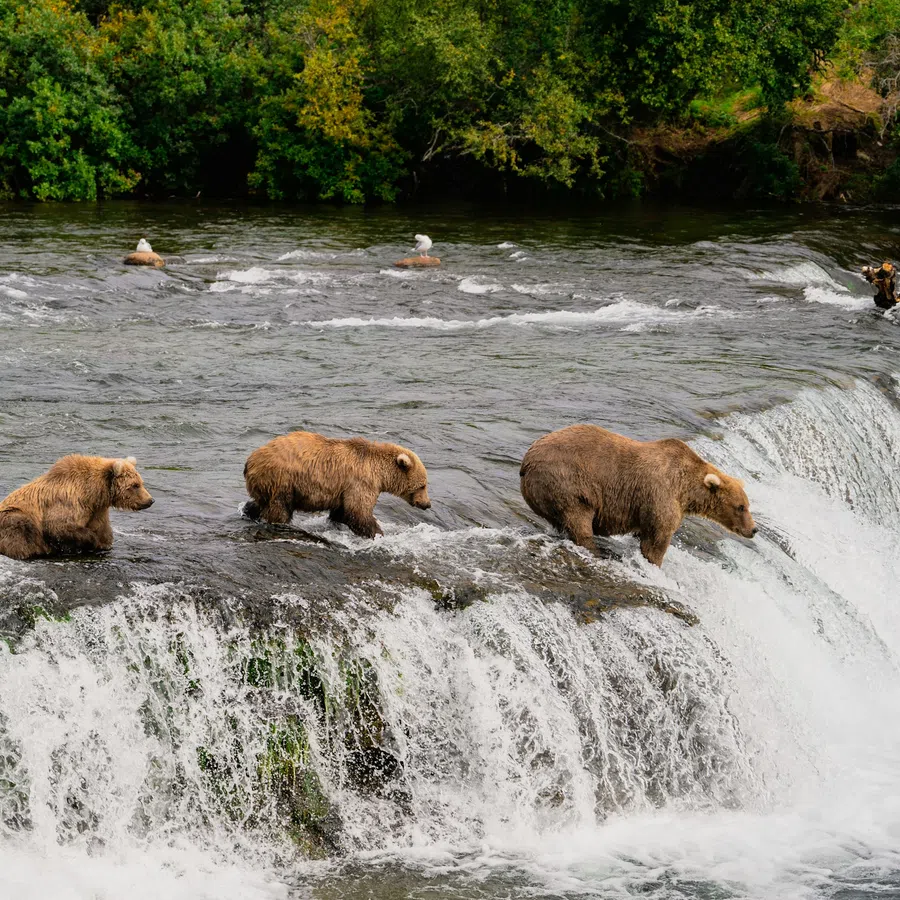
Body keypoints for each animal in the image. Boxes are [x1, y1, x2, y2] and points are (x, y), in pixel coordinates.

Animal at [0, 455, 154, 560]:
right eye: (135, 485)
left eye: (141, 482)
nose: (150, 500)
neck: (94, 492)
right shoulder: (68, 501)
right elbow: (58, 525)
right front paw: (90, 542)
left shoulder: (97, 510)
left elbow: (103, 532)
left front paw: (102, 544)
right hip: (13, 516)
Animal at [243, 431, 431, 538]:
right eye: (422, 485)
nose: (427, 504)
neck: (380, 472)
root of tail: (251, 460)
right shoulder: (361, 482)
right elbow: (358, 512)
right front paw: (377, 533)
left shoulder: (344, 489)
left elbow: (342, 512)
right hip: (283, 480)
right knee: (280, 508)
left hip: (266, 483)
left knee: (260, 503)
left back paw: (249, 511)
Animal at [519, 424, 756, 566]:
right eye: (740, 507)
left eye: (747, 505)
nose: (753, 529)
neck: (686, 490)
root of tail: (526, 461)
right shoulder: (661, 495)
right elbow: (657, 539)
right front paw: (654, 563)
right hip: (567, 483)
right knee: (578, 519)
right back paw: (594, 549)